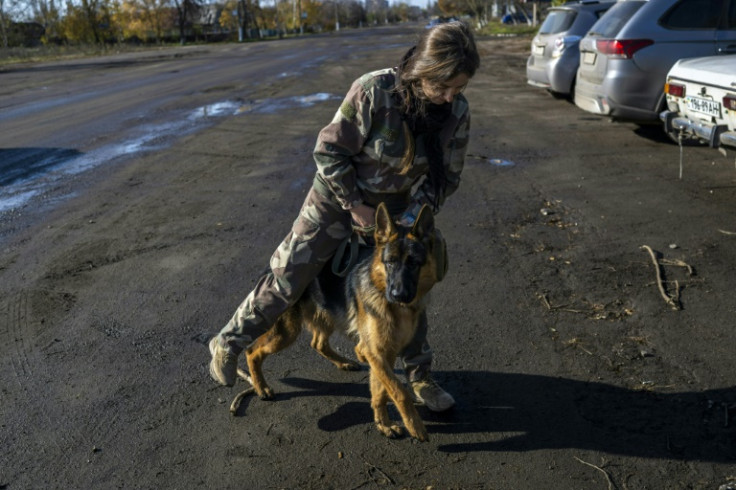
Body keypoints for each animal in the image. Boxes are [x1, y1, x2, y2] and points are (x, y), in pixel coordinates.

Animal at [239, 201, 440, 442]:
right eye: (390, 263)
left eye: (414, 264)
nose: (398, 295)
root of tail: (275, 263)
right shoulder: (377, 352)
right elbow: (398, 390)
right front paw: (414, 425)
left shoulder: (384, 354)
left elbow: (381, 390)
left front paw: (383, 424)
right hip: (287, 331)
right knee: (252, 351)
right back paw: (261, 388)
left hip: (325, 317)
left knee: (318, 343)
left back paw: (345, 361)